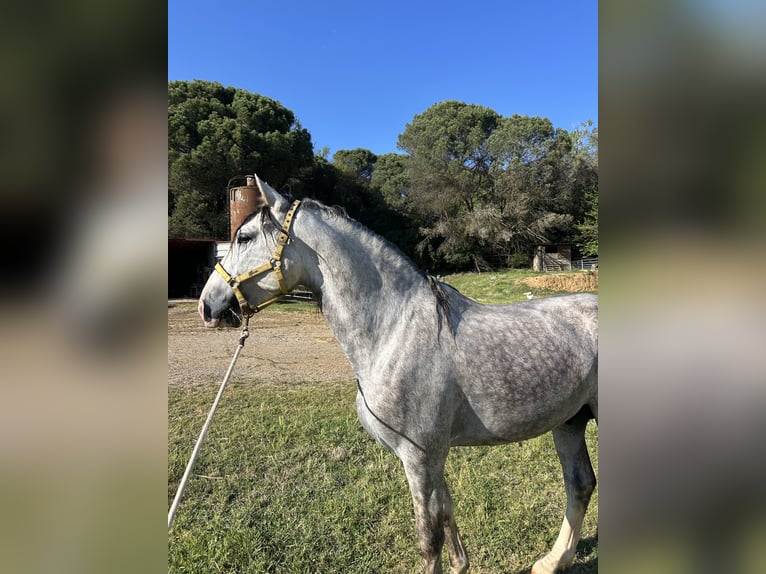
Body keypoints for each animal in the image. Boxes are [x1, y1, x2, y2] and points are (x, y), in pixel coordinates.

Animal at [199, 174, 598, 574]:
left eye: (245, 237)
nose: (207, 305)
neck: (394, 331)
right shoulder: (432, 458)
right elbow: (446, 514)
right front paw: (461, 565)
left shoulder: (419, 457)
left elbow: (429, 537)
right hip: (569, 422)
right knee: (580, 485)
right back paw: (552, 561)